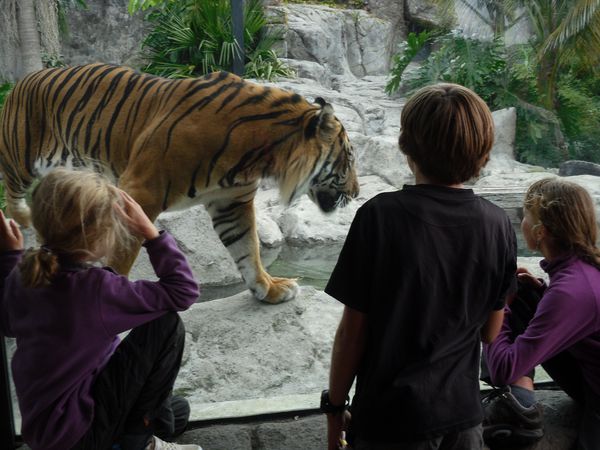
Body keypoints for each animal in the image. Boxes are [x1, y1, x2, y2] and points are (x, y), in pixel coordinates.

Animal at [0, 62, 356, 302]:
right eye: (349, 160)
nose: (355, 193)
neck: (261, 154)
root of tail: (25, 78)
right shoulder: (140, 190)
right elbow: (123, 252)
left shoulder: (232, 203)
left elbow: (248, 250)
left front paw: (268, 289)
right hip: (20, 158)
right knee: (10, 192)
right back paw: (22, 222)